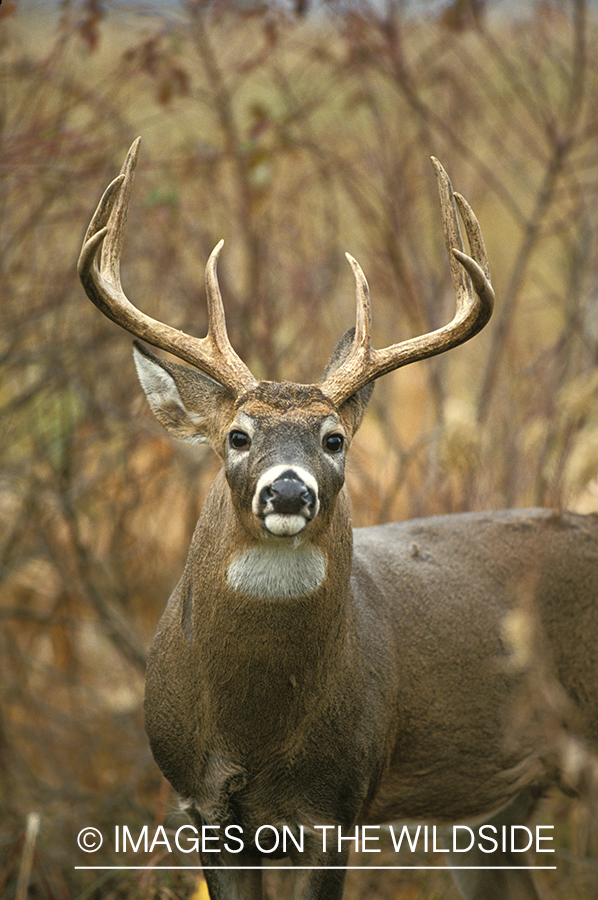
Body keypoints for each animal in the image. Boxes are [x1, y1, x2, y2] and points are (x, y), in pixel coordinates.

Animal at [78, 138, 598, 900]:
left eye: (334, 439)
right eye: (237, 435)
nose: (289, 493)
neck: (254, 724)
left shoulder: (337, 804)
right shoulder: (203, 804)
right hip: (486, 810)